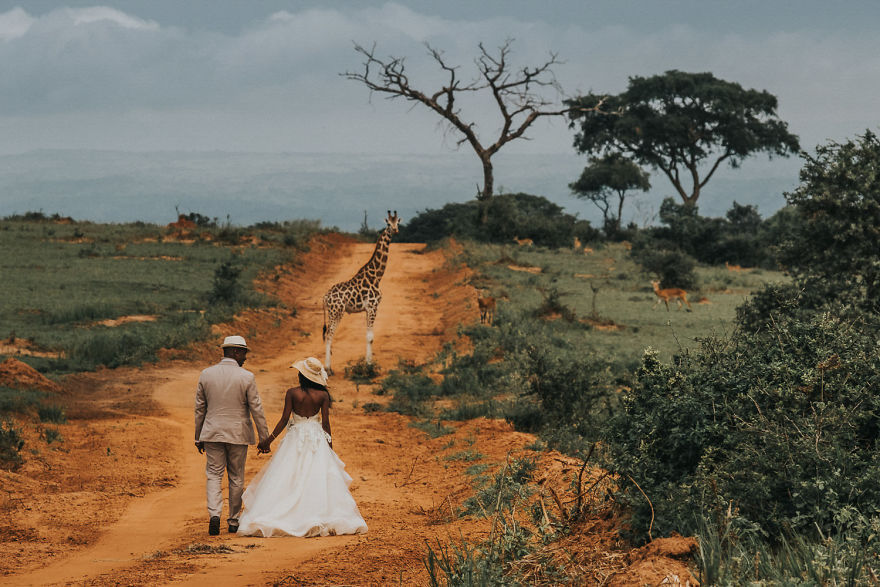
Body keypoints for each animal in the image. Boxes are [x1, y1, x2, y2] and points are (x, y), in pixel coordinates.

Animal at [322, 210, 400, 372]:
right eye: (388, 224)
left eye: (398, 222)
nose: (395, 230)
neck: (376, 276)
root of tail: (325, 297)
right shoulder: (372, 306)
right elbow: (370, 337)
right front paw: (369, 366)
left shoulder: (367, 309)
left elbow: (368, 335)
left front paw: (367, 363)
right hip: (336, 312)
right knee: (329, 334)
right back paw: (328, 369)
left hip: (333, 312)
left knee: (328, 334)